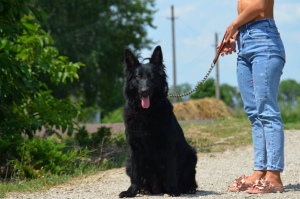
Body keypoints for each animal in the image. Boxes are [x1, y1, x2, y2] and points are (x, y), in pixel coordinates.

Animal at [118, 46, 198, 197]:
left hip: (192, 155)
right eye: (138, 77)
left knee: (190, 178)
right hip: (128, 163)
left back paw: (188, 188)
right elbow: (136, 175)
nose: (144, 91)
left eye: (152, 77)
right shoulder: (134, 149)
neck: (146, 113)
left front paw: (173, 190)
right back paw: (144, 189)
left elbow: (171, 171)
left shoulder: (169, 146)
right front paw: (131, 191)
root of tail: (158, 188)